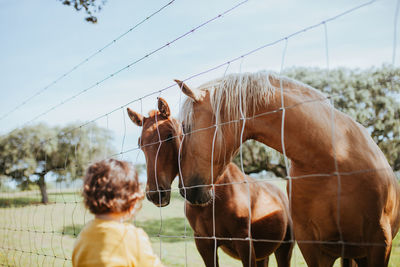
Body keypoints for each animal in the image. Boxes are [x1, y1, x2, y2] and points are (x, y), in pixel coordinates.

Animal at [127, 99, 294, 267]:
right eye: (140, 144)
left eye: (168, 136)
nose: (155, 194)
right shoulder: (204, 243)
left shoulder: (244, 243)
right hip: (263, 255)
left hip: (284, 249)